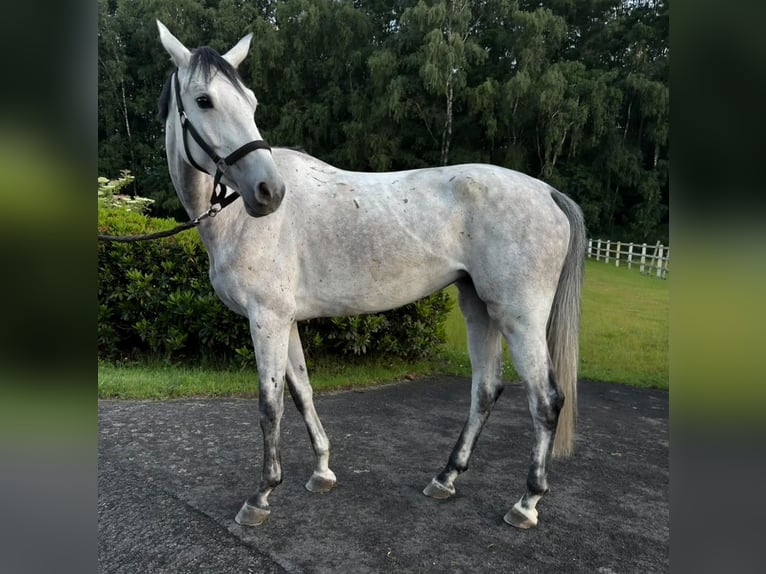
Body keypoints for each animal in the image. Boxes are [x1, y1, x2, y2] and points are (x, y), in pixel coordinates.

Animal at [155, 21, 586, 530]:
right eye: (204, 100)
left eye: (251, 102)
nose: (269, 191)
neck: (238, 218)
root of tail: (547, 192)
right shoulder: (285, 321)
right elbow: (302, 392)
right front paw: (322, 471)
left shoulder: (267, 320)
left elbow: (269, 404)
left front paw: (261, 495)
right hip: (477, 306)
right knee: (486, 389)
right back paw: (446, 478)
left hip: (520, 317)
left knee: (545, 399)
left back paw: (526, 502)